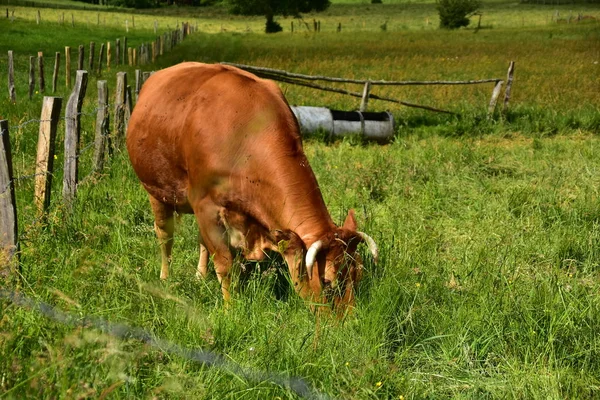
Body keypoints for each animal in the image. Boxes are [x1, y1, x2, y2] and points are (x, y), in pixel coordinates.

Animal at [126, 61, 378, 310]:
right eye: (327, 282)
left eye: (358, 275)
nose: (350, 318)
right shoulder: (206, 205)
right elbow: (225, 264)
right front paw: (230, 308)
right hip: (156, 190)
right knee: (165, 235)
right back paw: (165, 278)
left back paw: (200, 276)